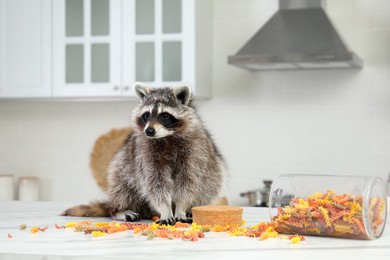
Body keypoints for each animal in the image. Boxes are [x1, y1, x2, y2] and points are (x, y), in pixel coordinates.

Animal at [62, 82, 227, 224]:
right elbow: (155, 183)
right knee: (122, 186)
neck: (166, 137)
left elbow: (189, 181)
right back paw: (118, 209)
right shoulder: (144, 152)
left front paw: (181, 207)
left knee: (210, 184)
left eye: (164, 115)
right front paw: (165, 209)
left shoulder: (195, 151)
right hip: (122, 166)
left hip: (212, 175)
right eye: (146, 115)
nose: (149, 131)